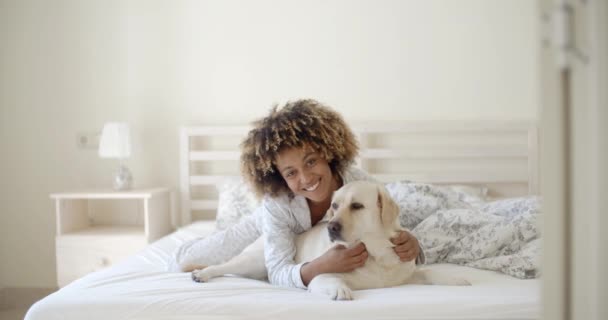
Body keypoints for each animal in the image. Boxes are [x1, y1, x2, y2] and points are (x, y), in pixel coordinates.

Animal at [192, 180, 468, 300]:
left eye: (357, 206)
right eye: (334, 206)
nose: (332, 228)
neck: (376, 253)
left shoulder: (407, 273)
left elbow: (429, 272)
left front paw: (456, 279)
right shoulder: (320, 274)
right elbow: (329, 279)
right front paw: (339, 289)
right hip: (252, 260)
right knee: (222, 266)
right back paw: (200, 274)